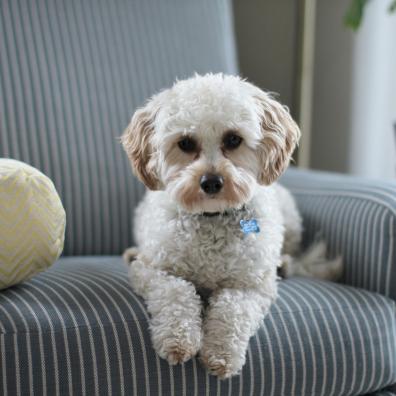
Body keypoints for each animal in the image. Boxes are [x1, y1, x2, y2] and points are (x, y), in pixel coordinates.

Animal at [120, 72, 340, 378]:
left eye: (233, 139)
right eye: (185, 143)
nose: (211, 182)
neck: (211, 217)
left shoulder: (251, 286)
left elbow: (231, 310)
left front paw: (221, 353)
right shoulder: (153, 271)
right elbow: (177, 292)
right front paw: (178, 339)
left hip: (290, 219)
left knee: (291, 251)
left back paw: (284, 264)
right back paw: (130, 253)